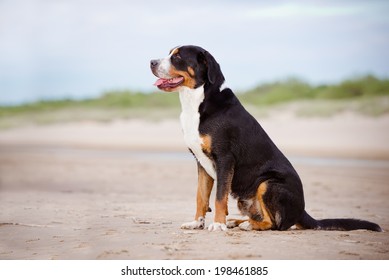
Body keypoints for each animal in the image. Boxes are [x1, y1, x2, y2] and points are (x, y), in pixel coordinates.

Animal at [149, 45, 382, 232]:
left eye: (177, 57)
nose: (151, 62)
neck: (196, 103)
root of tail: (302, 211)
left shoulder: (225, 158)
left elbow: (219, 197)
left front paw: (217, 224)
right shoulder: (201, 162)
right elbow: (201, 196)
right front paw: (196, 223)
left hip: (268, 183)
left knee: (276, 224)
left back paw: (246, 225)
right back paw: (237, 221)